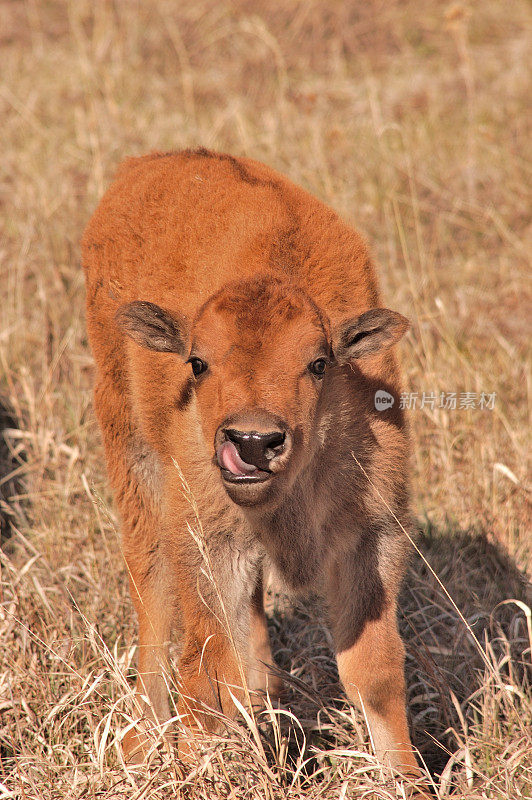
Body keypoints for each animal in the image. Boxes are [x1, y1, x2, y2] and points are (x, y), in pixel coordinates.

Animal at [83, 147, 422, 780]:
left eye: (319, 363)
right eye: (197, 362)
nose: (253, 442)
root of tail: (149, 163)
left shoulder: (372, 536)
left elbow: (375, 670)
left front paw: (406, 779)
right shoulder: (208, 542)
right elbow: (210, 671)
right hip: (133, 459)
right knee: (152, 600)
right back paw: (142, 740)